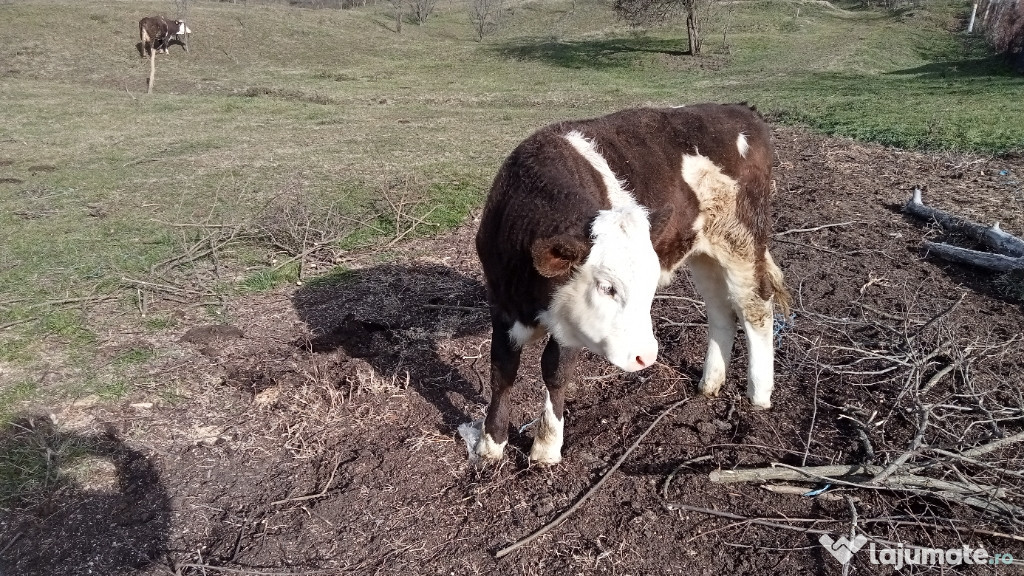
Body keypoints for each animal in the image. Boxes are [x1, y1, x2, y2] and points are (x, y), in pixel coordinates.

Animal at [471, 101, 790, 461]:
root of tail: (740, 110)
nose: (646, 356)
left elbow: (555, 372)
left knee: (755, 307)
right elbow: (502, 370)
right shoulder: (500, 303)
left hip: (742, 242)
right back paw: (710, 383)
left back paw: (759, 395)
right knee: (721, 309)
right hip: (704, 252)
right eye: (606, 287)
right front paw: (491, 443)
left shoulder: (570, 323)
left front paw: (546, 448)